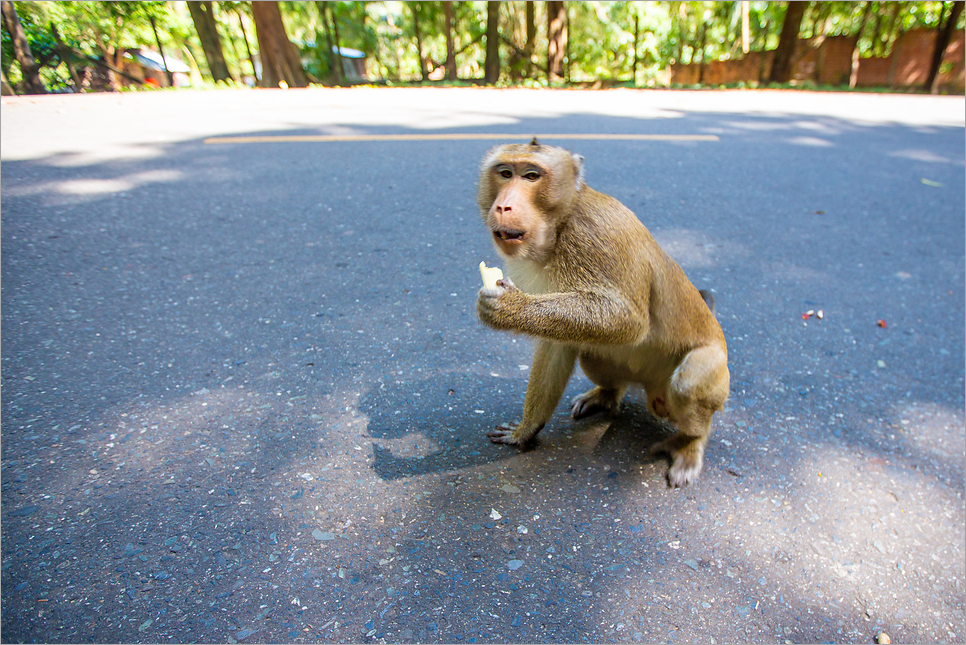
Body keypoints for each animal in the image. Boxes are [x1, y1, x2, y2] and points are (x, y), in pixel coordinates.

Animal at [476, 138, 732, 486]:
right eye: (504, 173)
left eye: (531, 176)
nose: (503, 206)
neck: (560, 225)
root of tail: (647, 387)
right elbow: (556, 344)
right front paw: (526, 430)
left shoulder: (595, 235)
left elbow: (628, 320)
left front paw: (510, 308)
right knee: (590, 352)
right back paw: (607, 394)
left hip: (714, 373)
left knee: (688, 382)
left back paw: (690, 442)